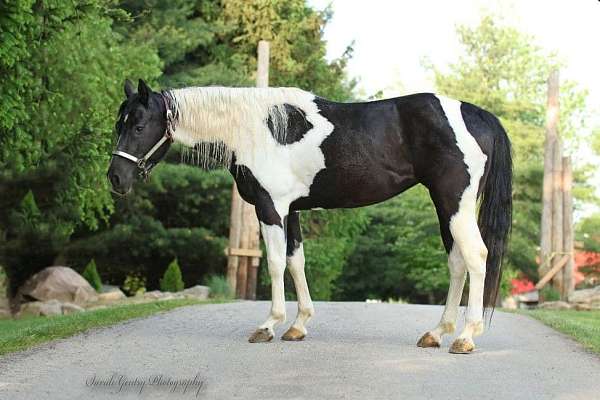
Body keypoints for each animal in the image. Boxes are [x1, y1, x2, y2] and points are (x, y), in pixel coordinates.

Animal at [106, 78, 510, 354]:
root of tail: (477, 114)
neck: (256, 129)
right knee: (457, 262)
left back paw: (465, 337)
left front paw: (269, 325)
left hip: (455, 204)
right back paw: (436, 332)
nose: (116, 178)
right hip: (446, 207)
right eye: (118, 124)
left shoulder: (270, 208)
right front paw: (298, 326)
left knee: (476, 257)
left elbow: (273, 263)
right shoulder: (292, 212)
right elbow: (295, 262)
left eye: (139, 125)